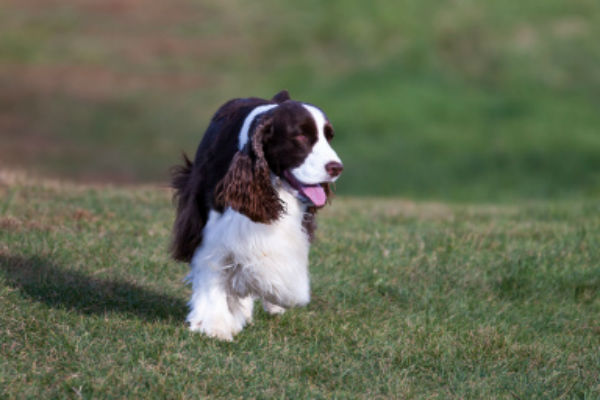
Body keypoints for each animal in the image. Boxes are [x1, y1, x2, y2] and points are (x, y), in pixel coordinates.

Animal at [171, 91, 344, 340]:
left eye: (329, 137)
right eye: (300, 136)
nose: (336, 167)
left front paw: (278, 294)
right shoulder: (210, 222)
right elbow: (212, 265)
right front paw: (215, 324)